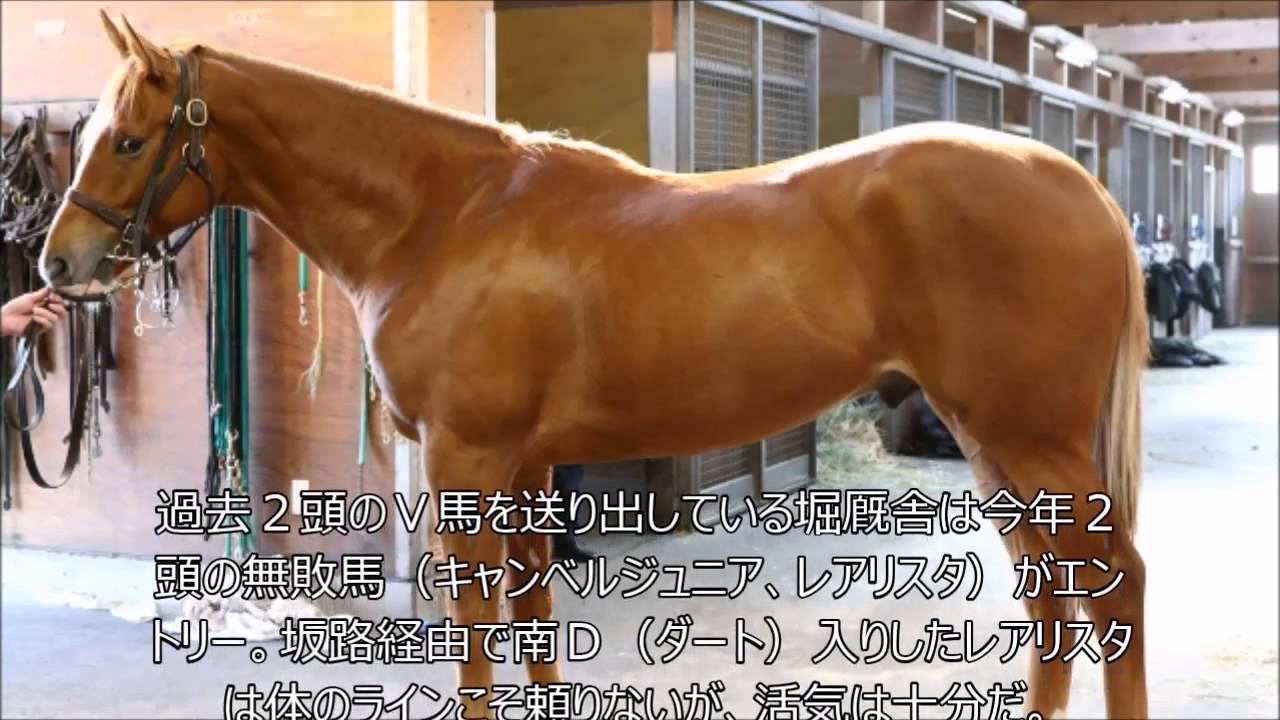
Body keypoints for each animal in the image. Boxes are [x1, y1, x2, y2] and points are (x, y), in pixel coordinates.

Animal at [38, 12, 1149, 719]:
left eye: (127, 140)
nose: (58, 265)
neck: (441, 215)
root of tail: (1084, 188)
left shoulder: (467, 461)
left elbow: (478, 633)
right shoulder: (527, 467)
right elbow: (533, 623)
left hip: (1032, 442)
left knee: (1116, 590)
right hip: (992, 444)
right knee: (1053, 596)